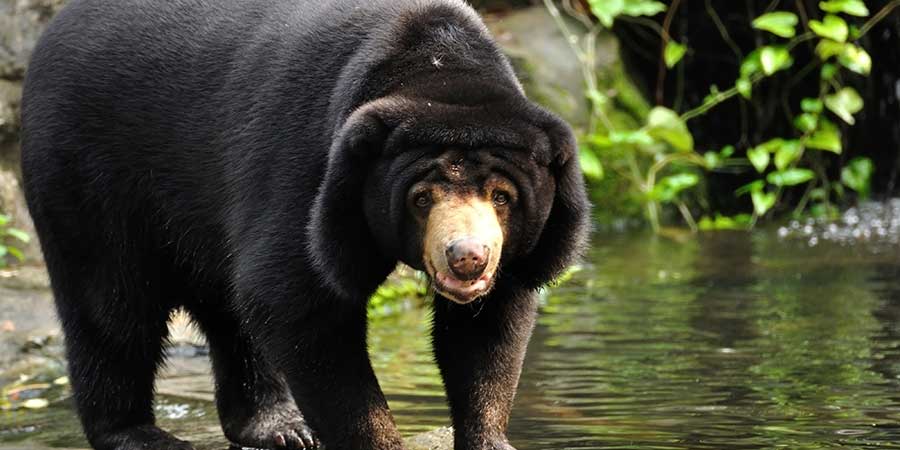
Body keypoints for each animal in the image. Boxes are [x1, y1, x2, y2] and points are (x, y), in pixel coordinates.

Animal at [19, 0, 590, 449]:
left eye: (502, 197)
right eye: (422, 198)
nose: (467, 256)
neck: (434, 68)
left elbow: (487, 326)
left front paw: (489, 437)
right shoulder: (309, 167)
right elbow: (299, 300)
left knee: (229, 309)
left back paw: (277, 426)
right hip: (86, 170)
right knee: (113, 305)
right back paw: (139, 434)